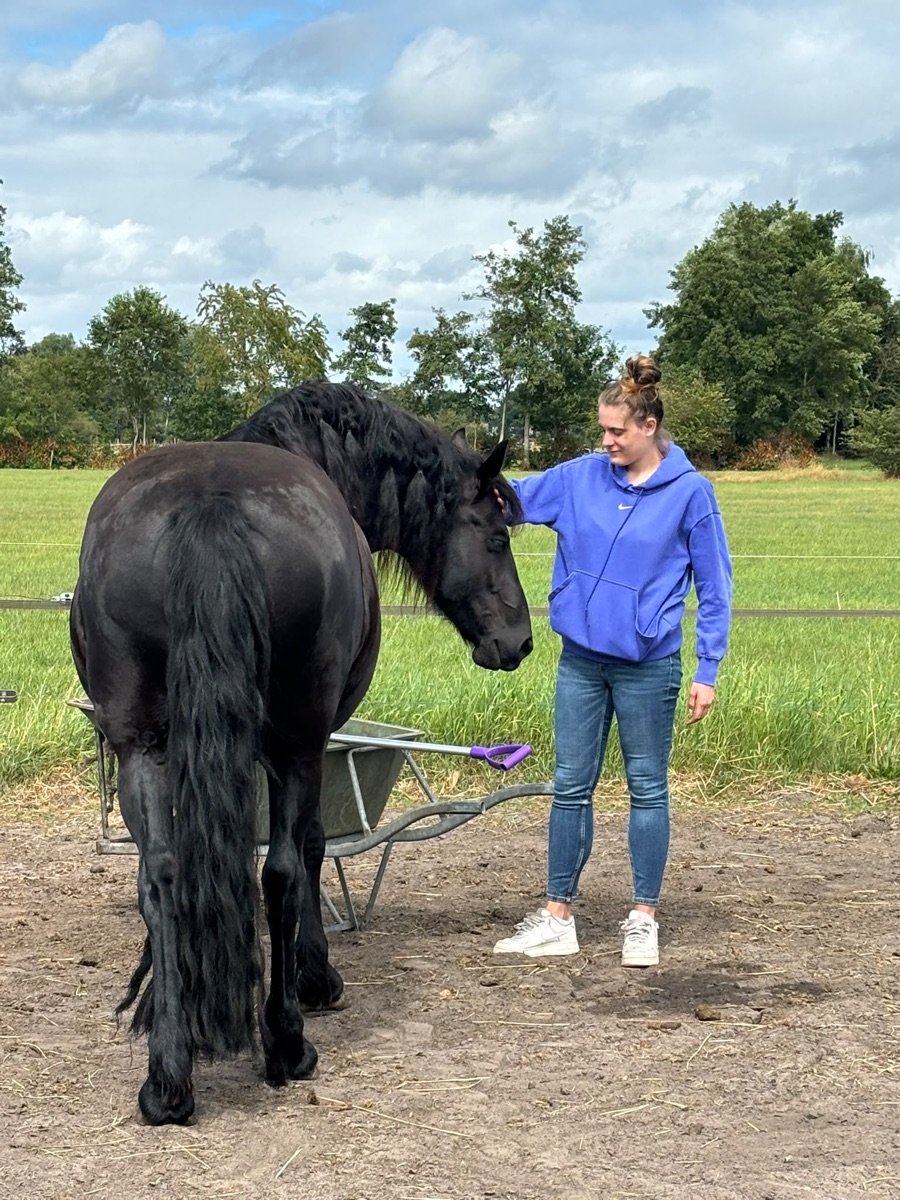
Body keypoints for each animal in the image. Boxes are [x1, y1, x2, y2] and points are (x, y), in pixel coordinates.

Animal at [70, 381, 532, 1125]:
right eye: (494, 536)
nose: (519, 640)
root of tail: (211, 504)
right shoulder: (314, 746)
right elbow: (311, 848)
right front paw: (316, 973)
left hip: (143, 746)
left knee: (162, 875)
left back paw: (168, 1075)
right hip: (294, 745)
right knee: (282, 869)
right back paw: (287, 1043)